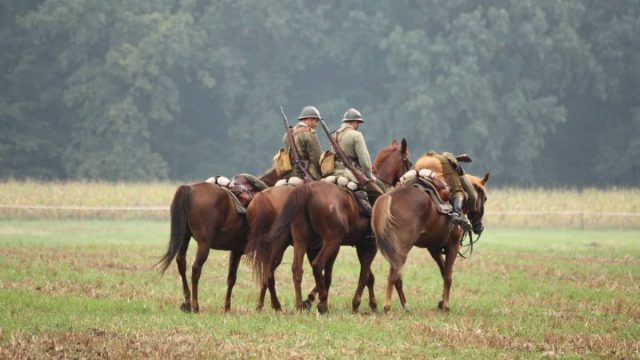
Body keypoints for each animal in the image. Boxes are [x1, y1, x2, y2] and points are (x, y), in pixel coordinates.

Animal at [159, 170, 276, 314]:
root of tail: (190, 189)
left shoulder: (236, 251)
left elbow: (231, 278)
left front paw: (227, 308)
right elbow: (266, 276)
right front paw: (261, 307)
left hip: (185, 237)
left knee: (181, 262)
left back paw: (187, 302)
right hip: (204, 244)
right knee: (196, 269)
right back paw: (195, 306)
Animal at [262, 138, 416, 312]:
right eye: (408, 162)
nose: (406, 184)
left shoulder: (346, 245)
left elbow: (361, 276)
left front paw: (372, 304)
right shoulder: (368, 245)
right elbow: (364, 275)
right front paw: (357, 304)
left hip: (298, 241)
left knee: (289, 269)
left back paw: (293, 305)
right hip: (328, 241)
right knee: (315, 265)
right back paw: (318, 302)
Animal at [372, 169, 488, 312]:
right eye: (485, 198)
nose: (480, 226)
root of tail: (388, 197)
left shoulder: (434, 249)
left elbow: (444, 272)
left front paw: (441, 302)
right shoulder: (453, 245)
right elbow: (448, 276)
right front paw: (446, 306)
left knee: (397, 275)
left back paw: (405, 305)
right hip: (402, 249)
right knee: (394, 274)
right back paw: (387, 306)